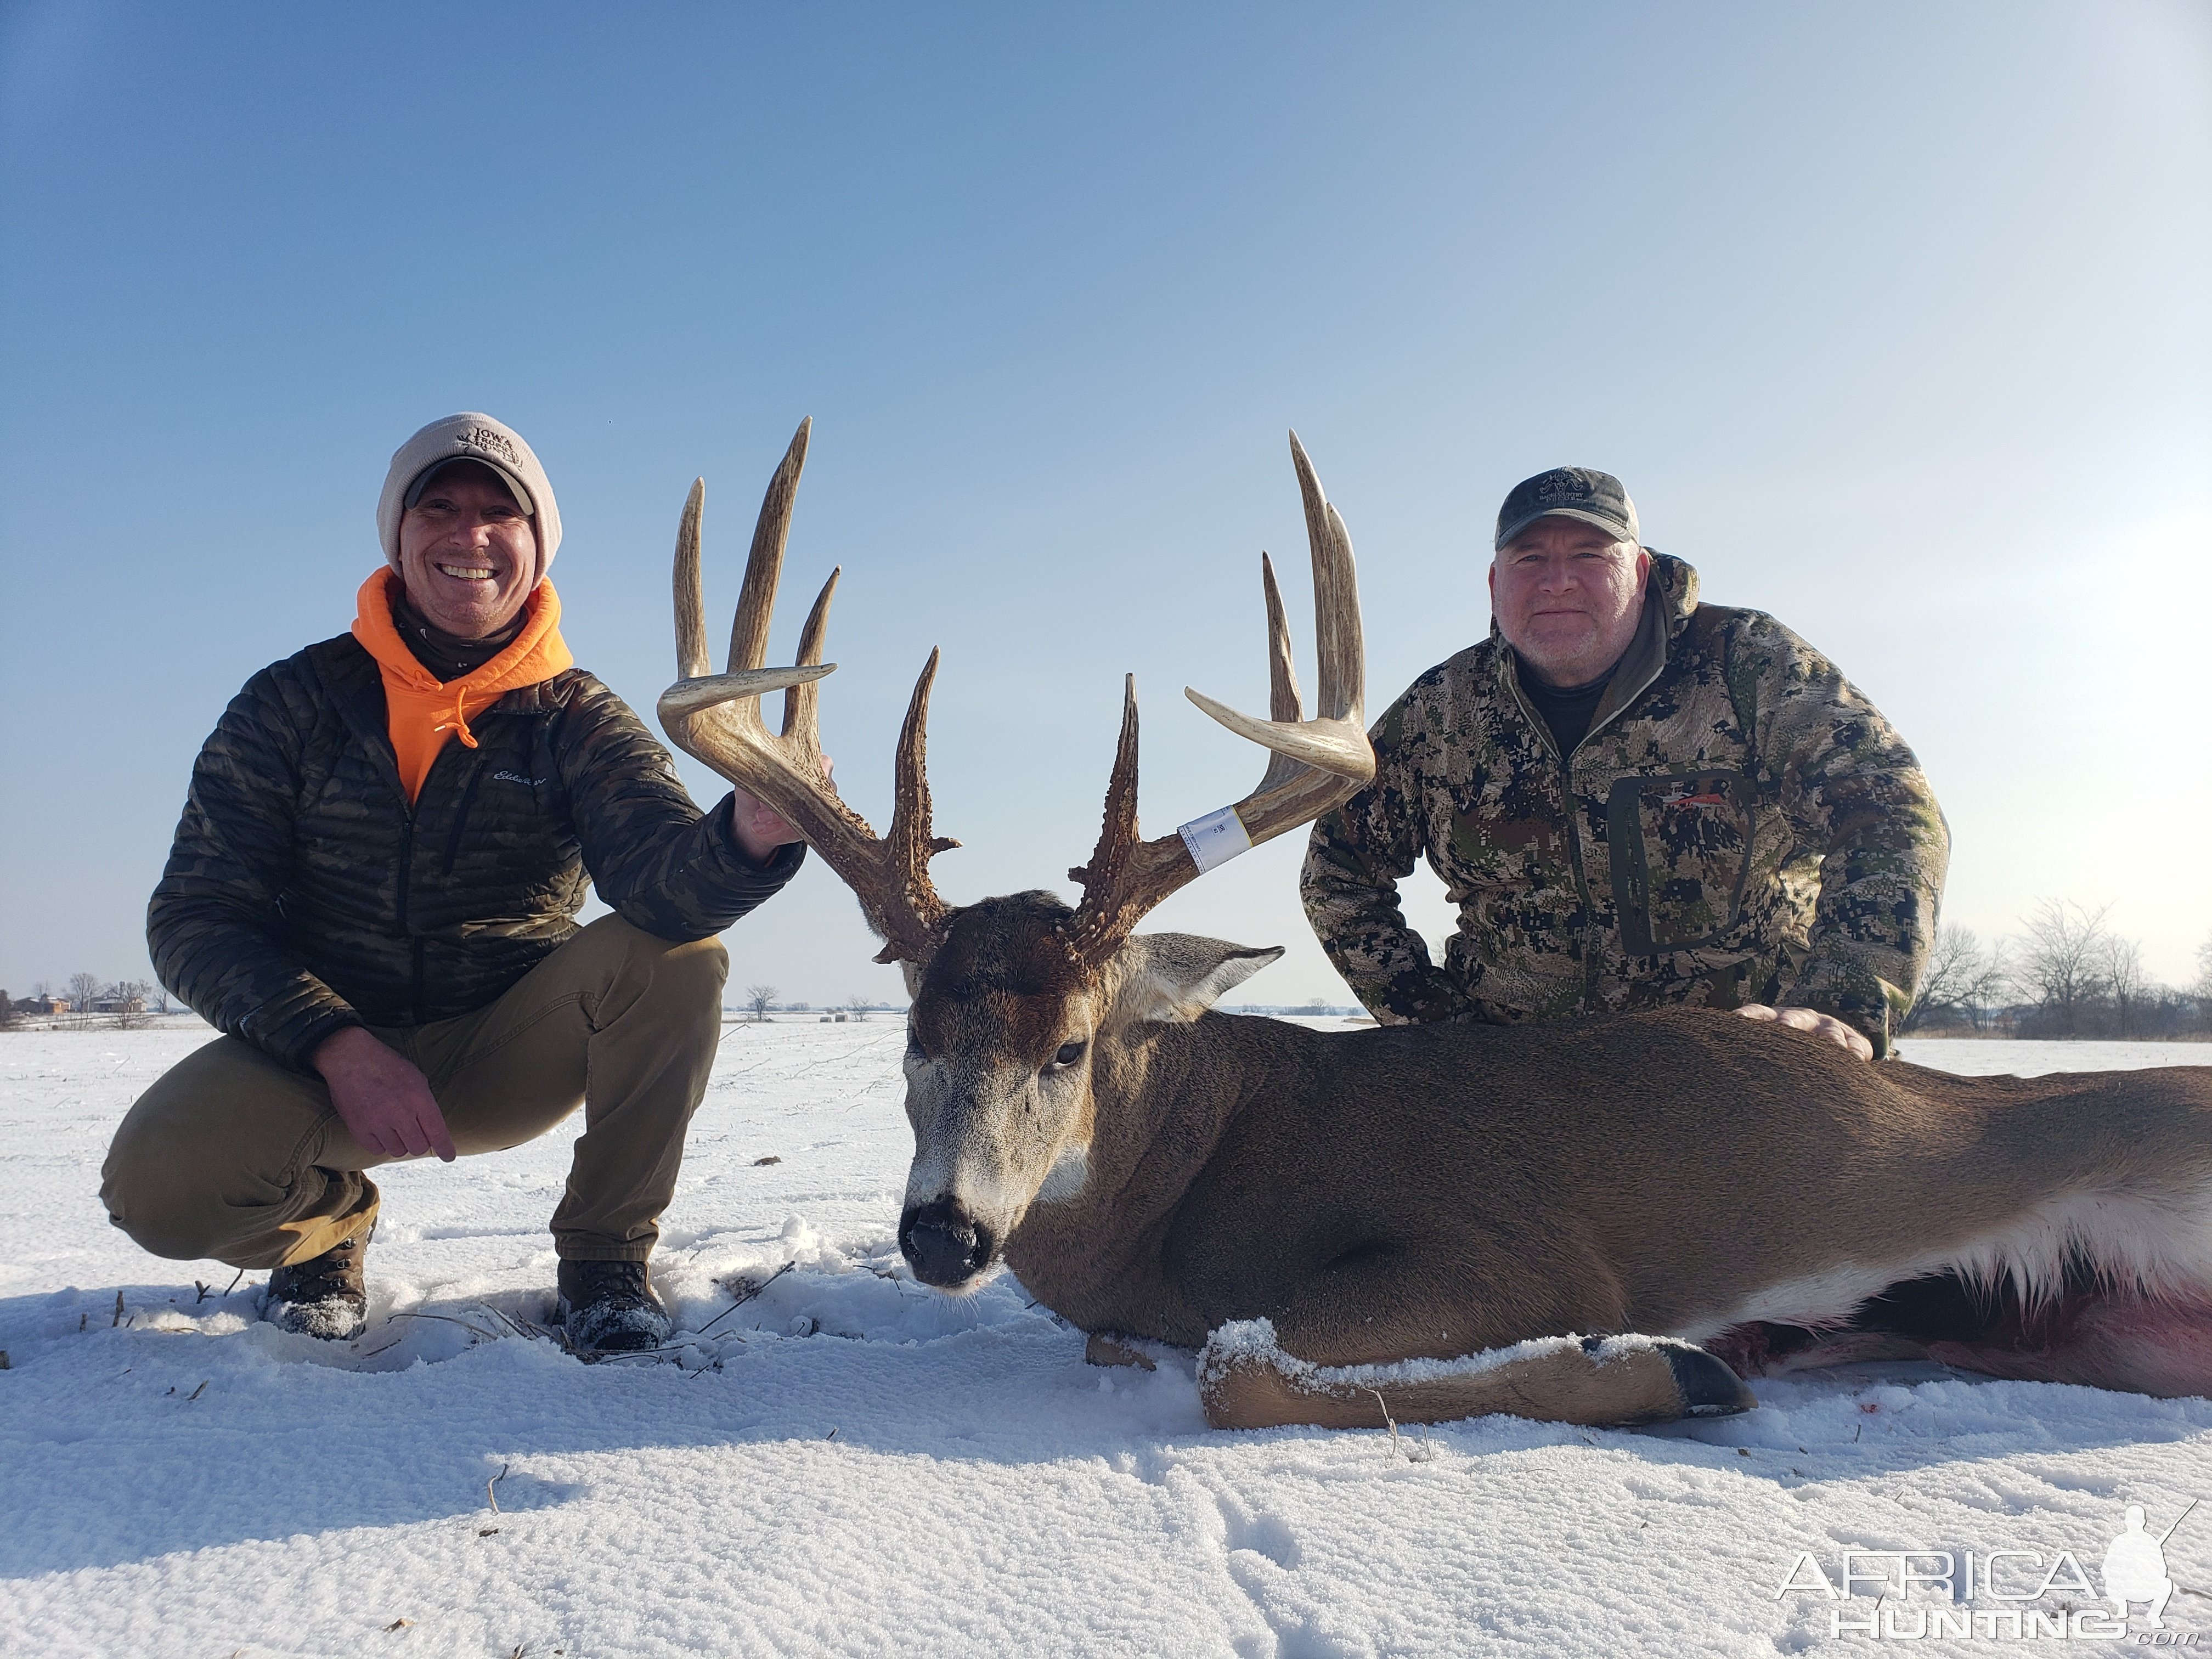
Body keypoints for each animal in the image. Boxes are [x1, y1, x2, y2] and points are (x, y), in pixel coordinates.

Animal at [663, 422, 2212, 1433]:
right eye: (913, 1037)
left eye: (1071, 1047)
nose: (943, 1234)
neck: (1183, 1191)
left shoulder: (1514, 1251)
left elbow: (1240, 1367)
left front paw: (1676, 1363)